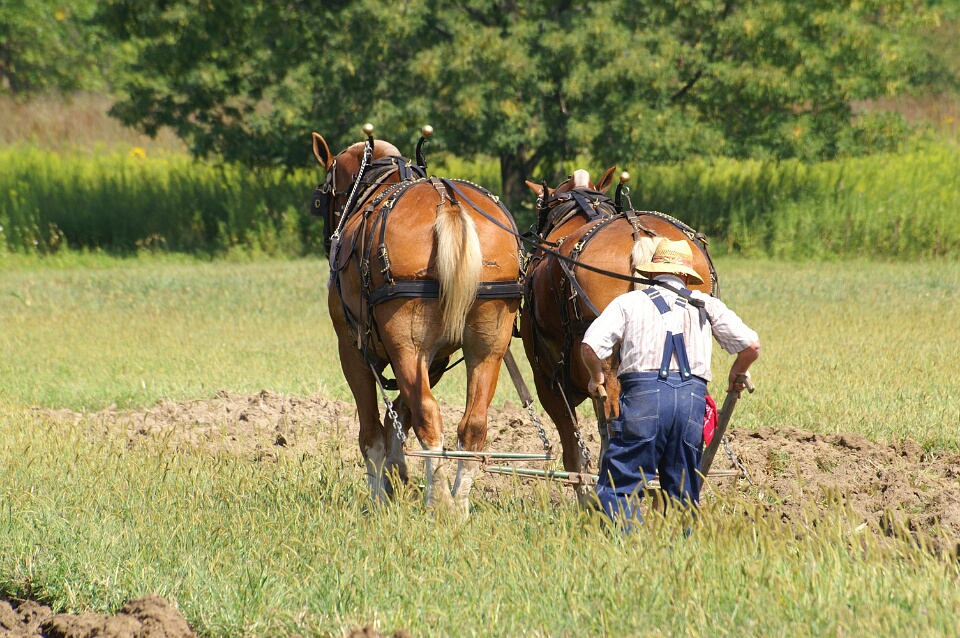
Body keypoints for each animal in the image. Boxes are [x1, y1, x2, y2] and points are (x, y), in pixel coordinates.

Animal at [310, 128, 522, 515]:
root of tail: (448, 202)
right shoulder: (435, 359)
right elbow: (398, 413)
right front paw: (397, 474)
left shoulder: (353, 351)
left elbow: (372, 431)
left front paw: (379, 495)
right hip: (487, 345)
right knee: (472, 425)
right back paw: (458, 505)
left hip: (406, 345)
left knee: (428, 418)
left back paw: (439, 502)